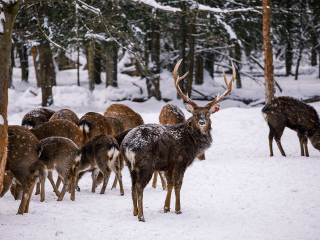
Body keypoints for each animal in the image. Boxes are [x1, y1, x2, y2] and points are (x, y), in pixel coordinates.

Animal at [120, 59, 235, 221]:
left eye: (207, 114)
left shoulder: (168, 165)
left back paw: (135, 212)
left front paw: (166, 208)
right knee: (139, 186)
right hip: (145, 164)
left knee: (132, 186)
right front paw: (178, 209)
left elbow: (169, 184)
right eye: (195, 114)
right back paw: (141, 216)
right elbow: (178, 185)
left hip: (130, 165)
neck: (191, 142)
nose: (202, 122)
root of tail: (128, 145)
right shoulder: (180, 162)